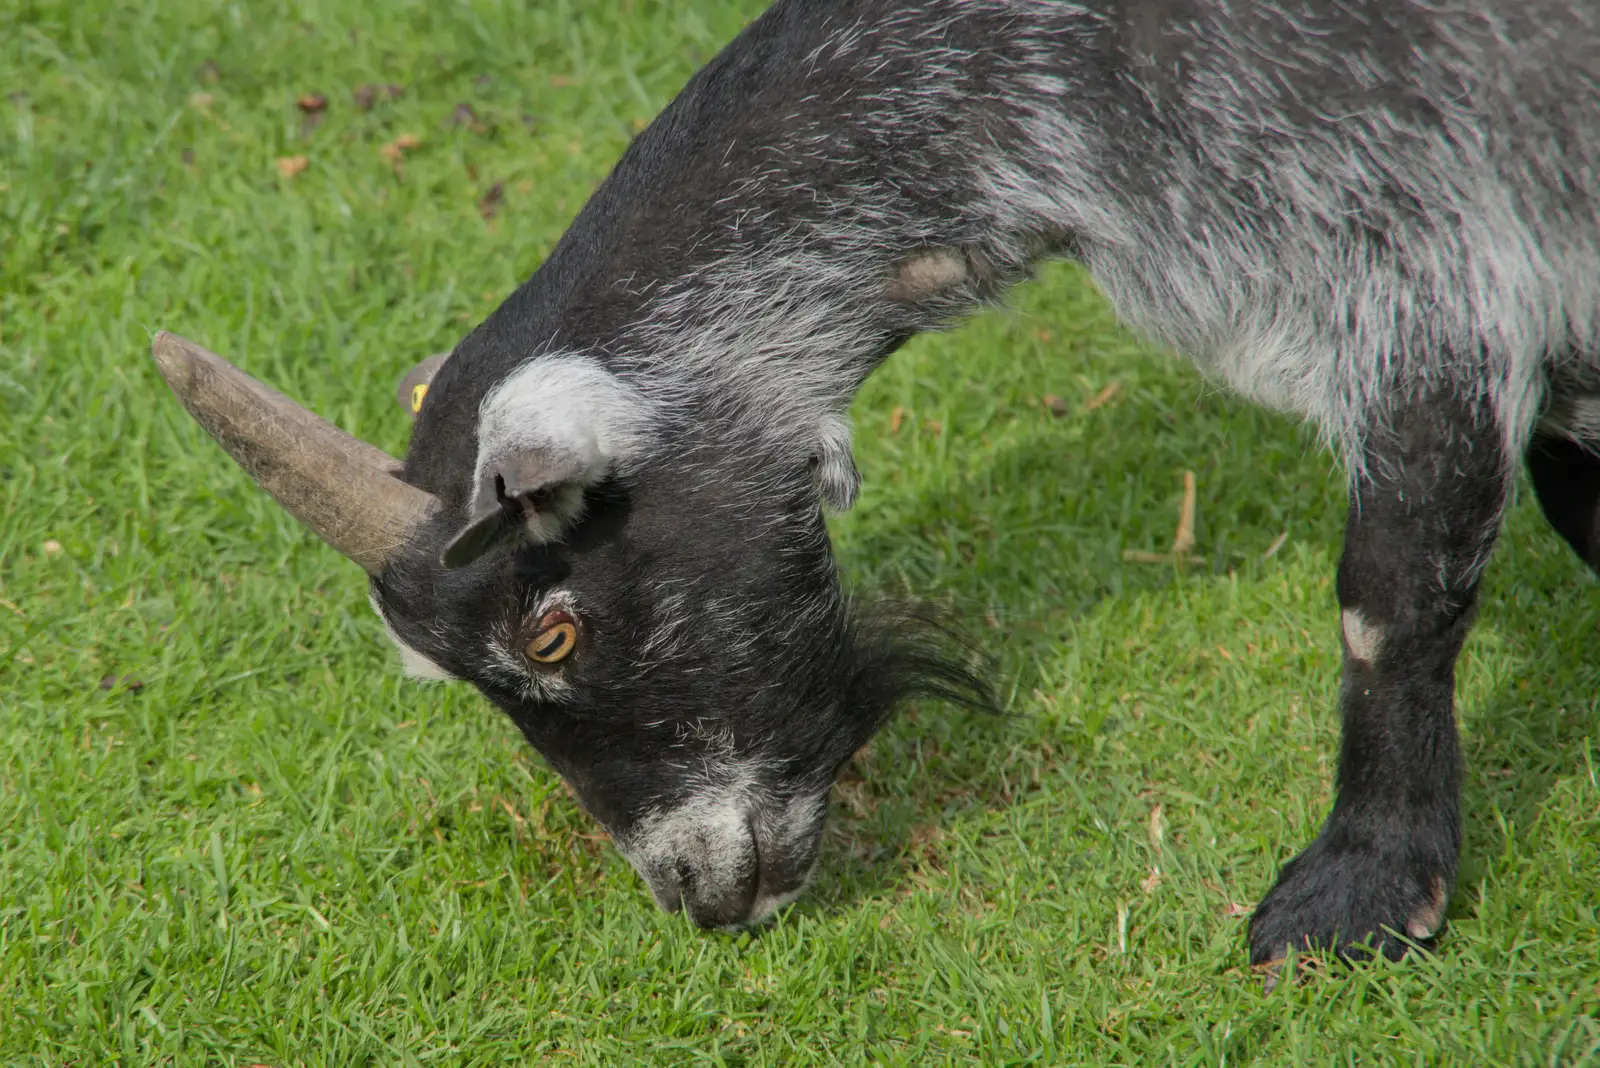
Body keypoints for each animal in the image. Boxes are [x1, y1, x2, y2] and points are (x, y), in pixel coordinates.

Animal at [152, 0, 1600, 965]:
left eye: (551, 629)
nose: (701, 896)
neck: (1067, 75)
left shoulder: (1420, 267)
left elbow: (1387, 597)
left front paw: (1364, 886)